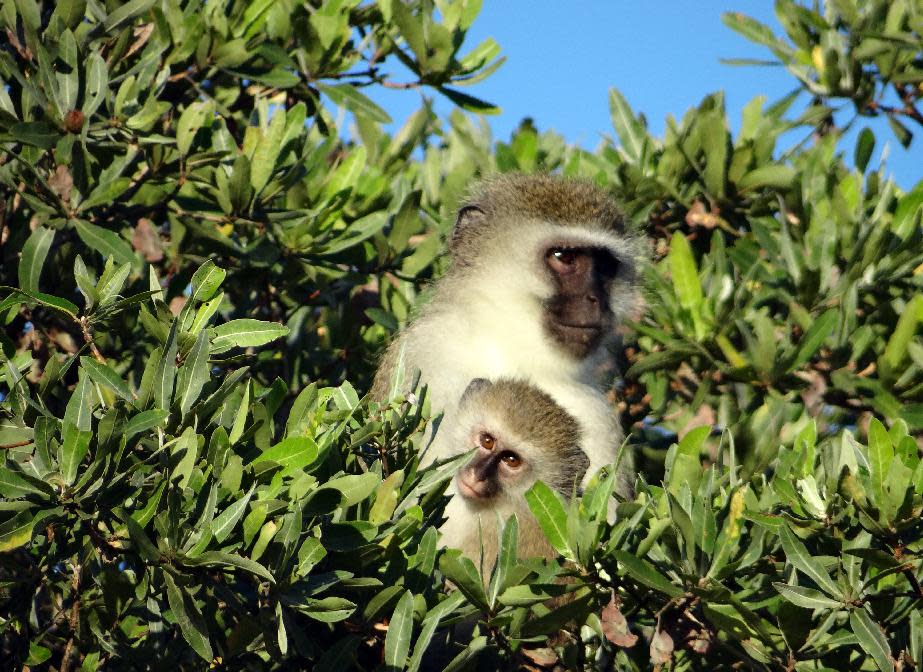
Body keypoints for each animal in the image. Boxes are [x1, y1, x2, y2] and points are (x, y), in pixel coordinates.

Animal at [370, 173, 644, 498]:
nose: (595, 301)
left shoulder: (598, 417)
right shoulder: (424, 356)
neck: (512, 350)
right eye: (564, 256)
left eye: (604, 267)